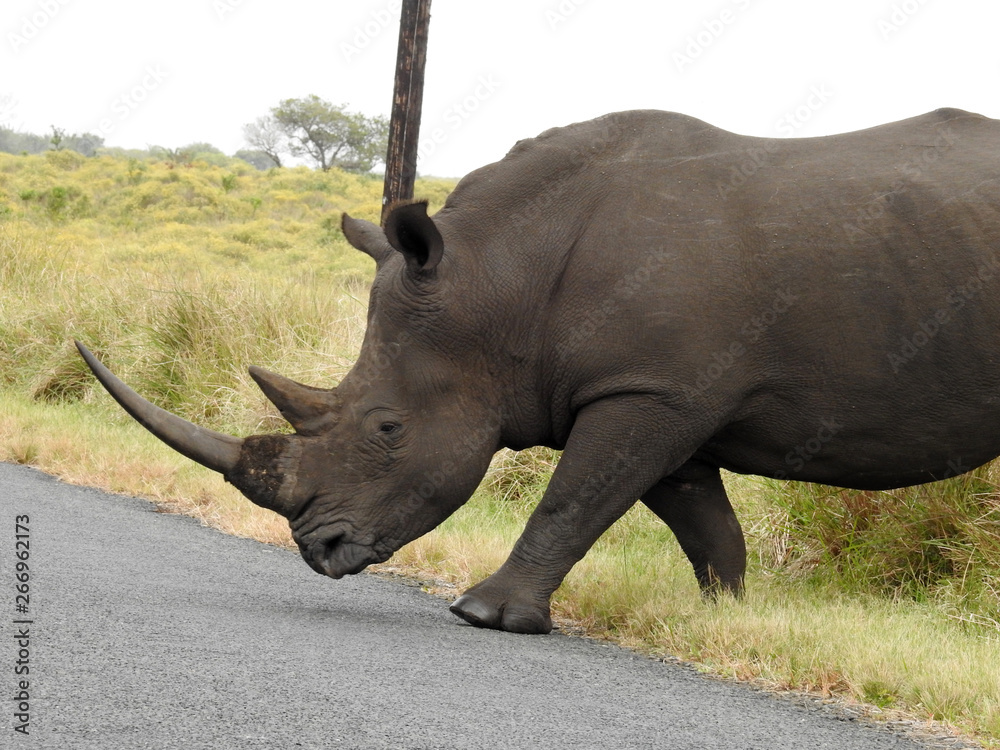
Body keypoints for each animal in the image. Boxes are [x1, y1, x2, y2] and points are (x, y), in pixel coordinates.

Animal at [78, 107, 1000, 634]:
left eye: (388, 428)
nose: (319, 551)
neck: (499, 282)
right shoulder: (660, 392)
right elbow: (700, 522)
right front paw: (728, 620)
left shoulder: (646, 392)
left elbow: (572, 499)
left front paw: (483, 614)